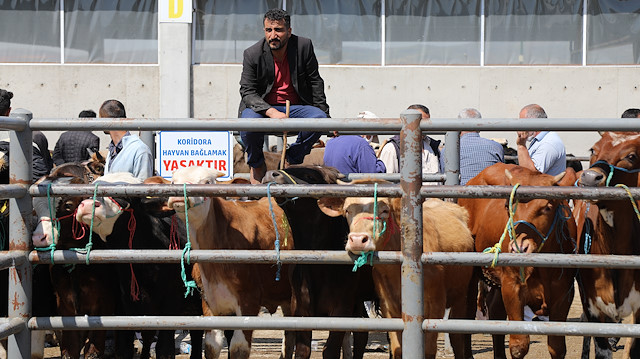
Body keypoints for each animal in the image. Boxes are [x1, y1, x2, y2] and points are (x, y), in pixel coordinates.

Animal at [166, 167, 294, 358]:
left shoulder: (249, 300)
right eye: (173, 182)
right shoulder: (209, 301)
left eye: (207, 182)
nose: (178, 196)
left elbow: (238, 348)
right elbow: (212, 346)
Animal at [318, 180, 478, 359]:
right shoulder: (388, 305)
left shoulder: (435, 303)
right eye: (347, 210)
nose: (358, 240)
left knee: (457, 336)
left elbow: (429, 349)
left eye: (385, 210)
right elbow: (397, 348)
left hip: (464, 294)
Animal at [458, 165, 576, 359]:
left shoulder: (564, 293)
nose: (519, 247)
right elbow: (519, 345)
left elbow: (557, 347)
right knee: (466, 314)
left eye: (547, 207)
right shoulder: (511, 287)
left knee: (495, 310)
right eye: (508, 206)